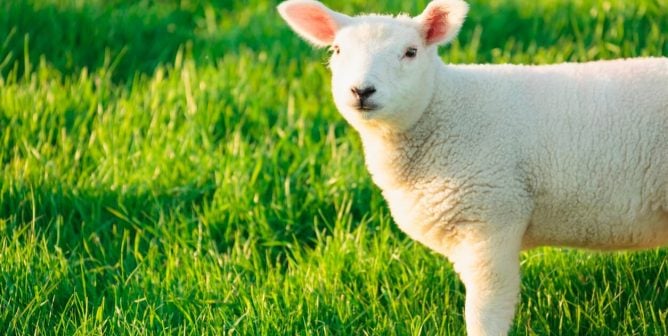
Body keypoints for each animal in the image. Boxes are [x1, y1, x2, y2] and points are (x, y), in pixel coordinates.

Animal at [276, 0, 668, 334]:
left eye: (410, 52)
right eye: (337, 51)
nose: (362, 91)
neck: (444, 110)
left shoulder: (491, 220)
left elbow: (484, 313)